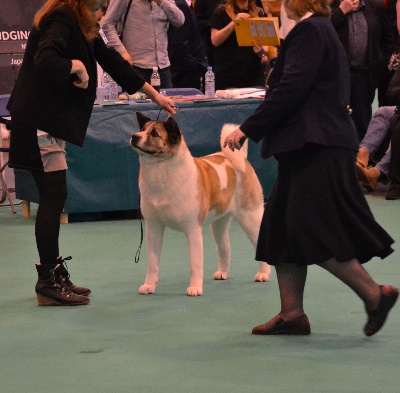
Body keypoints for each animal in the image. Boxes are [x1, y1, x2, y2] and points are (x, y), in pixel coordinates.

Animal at [130, 112, 270, 296]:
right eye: (143, 129)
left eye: (154, 134)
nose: (134, 136)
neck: (162, 171)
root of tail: (241, 161)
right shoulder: (153, 228)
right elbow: (152, 263)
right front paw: (149, 285)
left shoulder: (193, 230)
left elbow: (195, 263)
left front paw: (195, 287)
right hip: (219, 224)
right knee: (224, 247)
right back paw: (223, 272)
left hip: (250, 218)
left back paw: (264, 273)